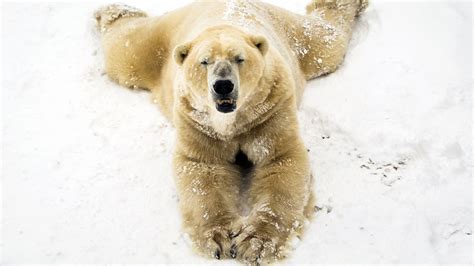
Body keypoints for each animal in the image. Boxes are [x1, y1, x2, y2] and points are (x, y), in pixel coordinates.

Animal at [93, 0, 366, 262]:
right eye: (204, 61)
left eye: (239, 58)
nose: (223, 85)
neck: (232, 120)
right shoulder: (197, 120)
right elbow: (204, 168)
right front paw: (218, 239)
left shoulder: (270, 108)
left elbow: (280, 160)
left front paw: (256, 244)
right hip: (161, 39)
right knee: (126, 52)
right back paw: (112, 10)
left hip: (290, 32)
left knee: (325, 42)